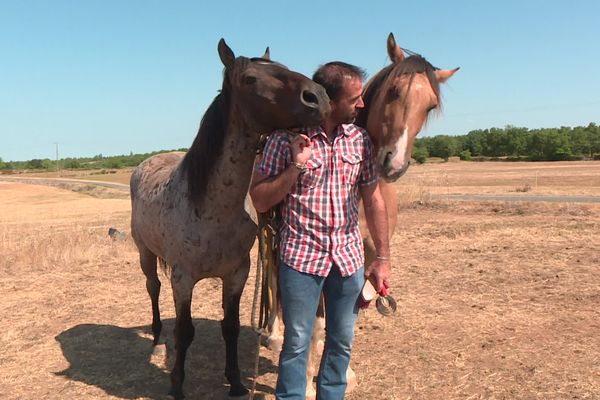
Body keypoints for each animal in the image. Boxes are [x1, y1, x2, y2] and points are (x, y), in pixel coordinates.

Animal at [129, 38, 330, 400]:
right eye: (250, 79)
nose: (318, 97)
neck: (213, 211)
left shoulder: (237, 275)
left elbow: (231, 328)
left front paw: (236, 382)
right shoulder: (183, 279)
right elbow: (185, 331)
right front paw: (177, 385)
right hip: (145, 253)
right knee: (153, 288)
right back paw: (155, 336)